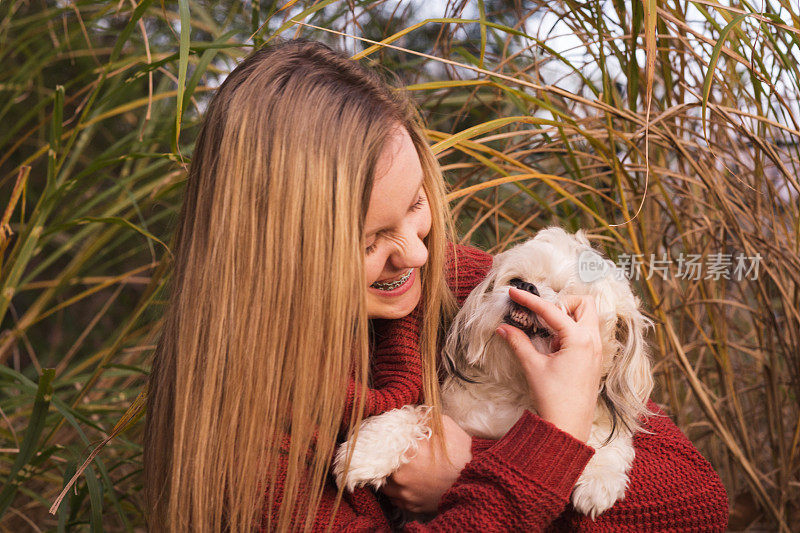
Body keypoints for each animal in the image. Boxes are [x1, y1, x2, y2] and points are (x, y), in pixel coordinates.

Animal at [334, 227, 652, 516]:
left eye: (565, 295)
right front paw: (366, 451)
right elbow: (413, 412)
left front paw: (599, 477)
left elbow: (606, 439)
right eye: (516, 280)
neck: (517, 386)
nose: (527, 288)